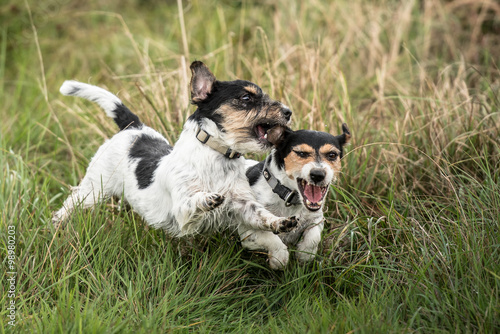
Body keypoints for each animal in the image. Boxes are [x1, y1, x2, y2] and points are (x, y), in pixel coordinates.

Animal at [52, 61, 298, 236]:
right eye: (246, 97)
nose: (288, 112)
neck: (217, 157)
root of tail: (134, 126)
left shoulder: (243, 204)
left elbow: (261, 214)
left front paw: (280, 222)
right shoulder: (182, 210)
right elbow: (193, 201)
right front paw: (207, 199)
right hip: (94, 188)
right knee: (71, 203)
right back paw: (56, 224)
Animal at [239, 124, 350, 268]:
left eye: (332, 155)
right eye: (301, 153)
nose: (318, 174)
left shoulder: (317, 218)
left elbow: (313, 237)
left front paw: (305, 253)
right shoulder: (246, 231)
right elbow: (269, 237)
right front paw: (279, 257)